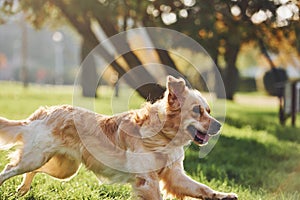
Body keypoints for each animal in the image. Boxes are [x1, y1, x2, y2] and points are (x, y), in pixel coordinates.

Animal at [0, 76, 237, 199]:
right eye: (198, 111)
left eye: (209, 110)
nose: (219, 125)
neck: (163, 136)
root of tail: (45, 112)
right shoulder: (147, 181)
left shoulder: (174, 176)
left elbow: (202, 188)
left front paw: (224, 195)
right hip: (37, 158)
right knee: (10, 168)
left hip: (64, 168)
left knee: (31, 171)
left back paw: (23, 189)